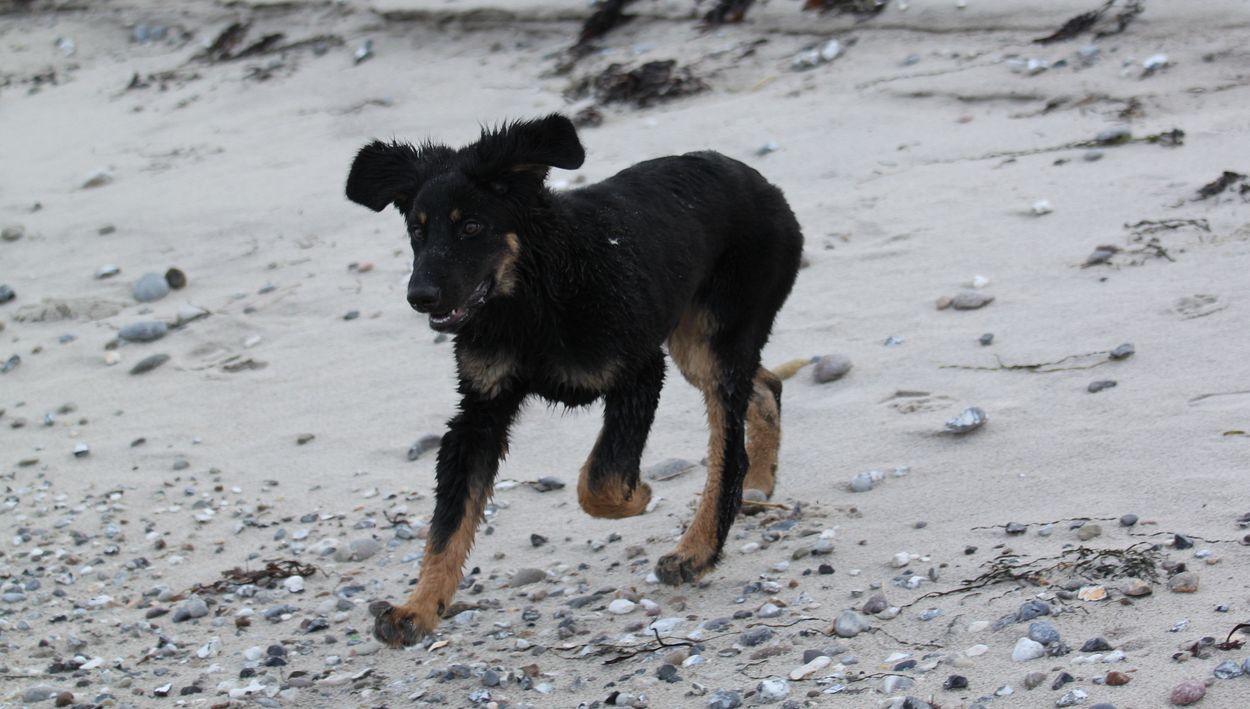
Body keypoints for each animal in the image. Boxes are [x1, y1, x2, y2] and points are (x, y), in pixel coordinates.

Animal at [345, 114, 803, 646]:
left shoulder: (638, 369)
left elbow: (600, 481)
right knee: (766, 385)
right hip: (695, 342)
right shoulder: (480, 411)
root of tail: (760, 182)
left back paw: (697, 549)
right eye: (417, 232)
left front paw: (638, 495)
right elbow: (448, 523)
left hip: (714, 338)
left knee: (729, 447)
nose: (420, 297)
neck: (532, 297)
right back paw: (759, 483)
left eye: (472, 227)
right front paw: (418, 608)